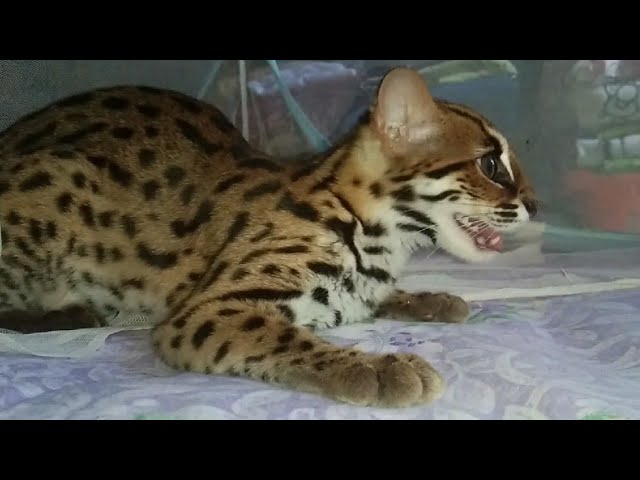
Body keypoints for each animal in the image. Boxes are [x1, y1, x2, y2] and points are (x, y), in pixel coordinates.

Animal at [0, 67, 537, 408]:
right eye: (491, 165)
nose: (536, 205)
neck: (382, 239)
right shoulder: (206, 310)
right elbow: (285, 336)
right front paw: (379, 370)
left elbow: (373, 296)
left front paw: (430, 299)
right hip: (58, 183)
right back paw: (69, 314)